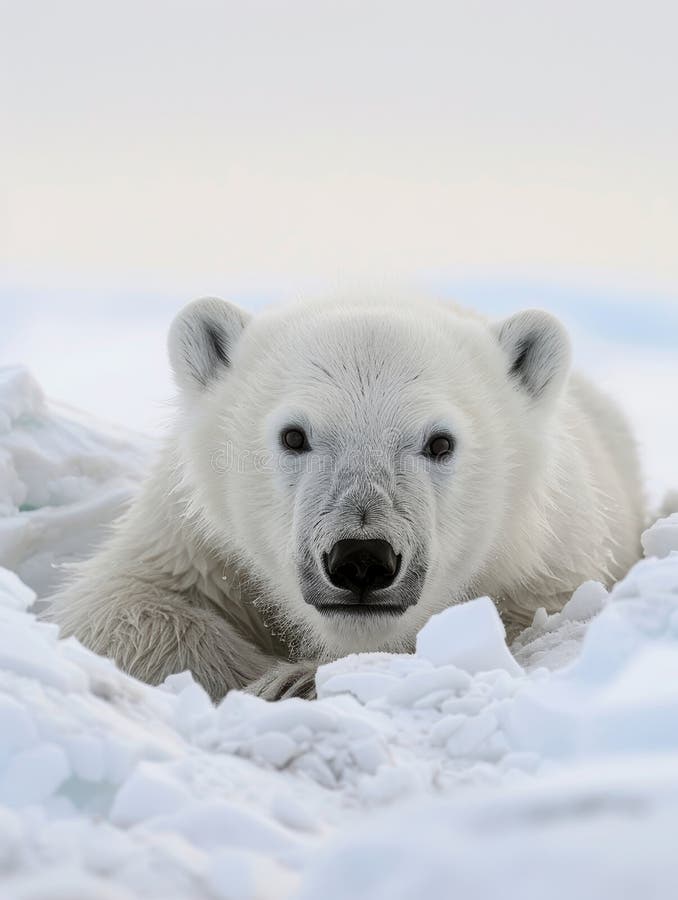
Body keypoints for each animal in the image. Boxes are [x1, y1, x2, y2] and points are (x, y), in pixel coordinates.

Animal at [49, 298, 648, 700]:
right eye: (293, 436)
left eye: (440, 442)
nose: (362, 559)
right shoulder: (192, 537)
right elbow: (123, 609)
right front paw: (276, 681)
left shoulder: (545, 565)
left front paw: (301, 679)